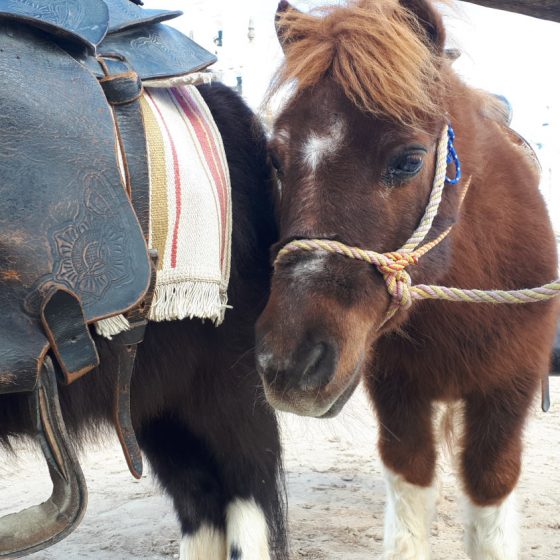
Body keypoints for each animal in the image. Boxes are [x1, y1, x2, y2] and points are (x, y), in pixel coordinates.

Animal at [258, 2, 560, 556]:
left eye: (409, 161)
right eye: (275, 158)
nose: (290, 363)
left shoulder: (508, 392)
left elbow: (489, 491)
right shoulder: (399, 395)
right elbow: (411, 491)